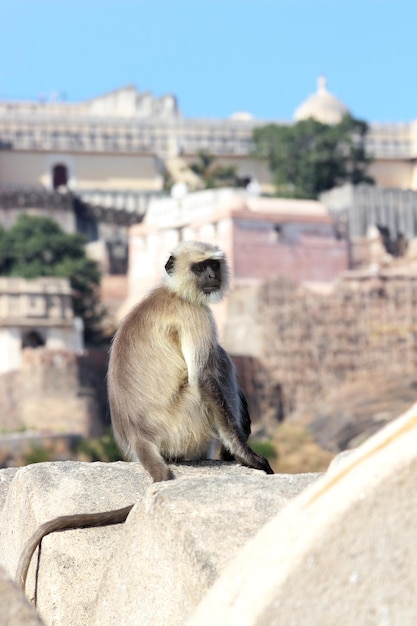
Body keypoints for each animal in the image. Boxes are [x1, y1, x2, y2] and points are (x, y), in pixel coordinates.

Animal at [15, 241, 270, 592]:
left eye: (214, 265)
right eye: (199, 267)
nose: (210, 276)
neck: (174, 292)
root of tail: (138, 438)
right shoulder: (194, 314)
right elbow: (204, 379)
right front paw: (246, 454)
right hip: (184, 424)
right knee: (217, 359)